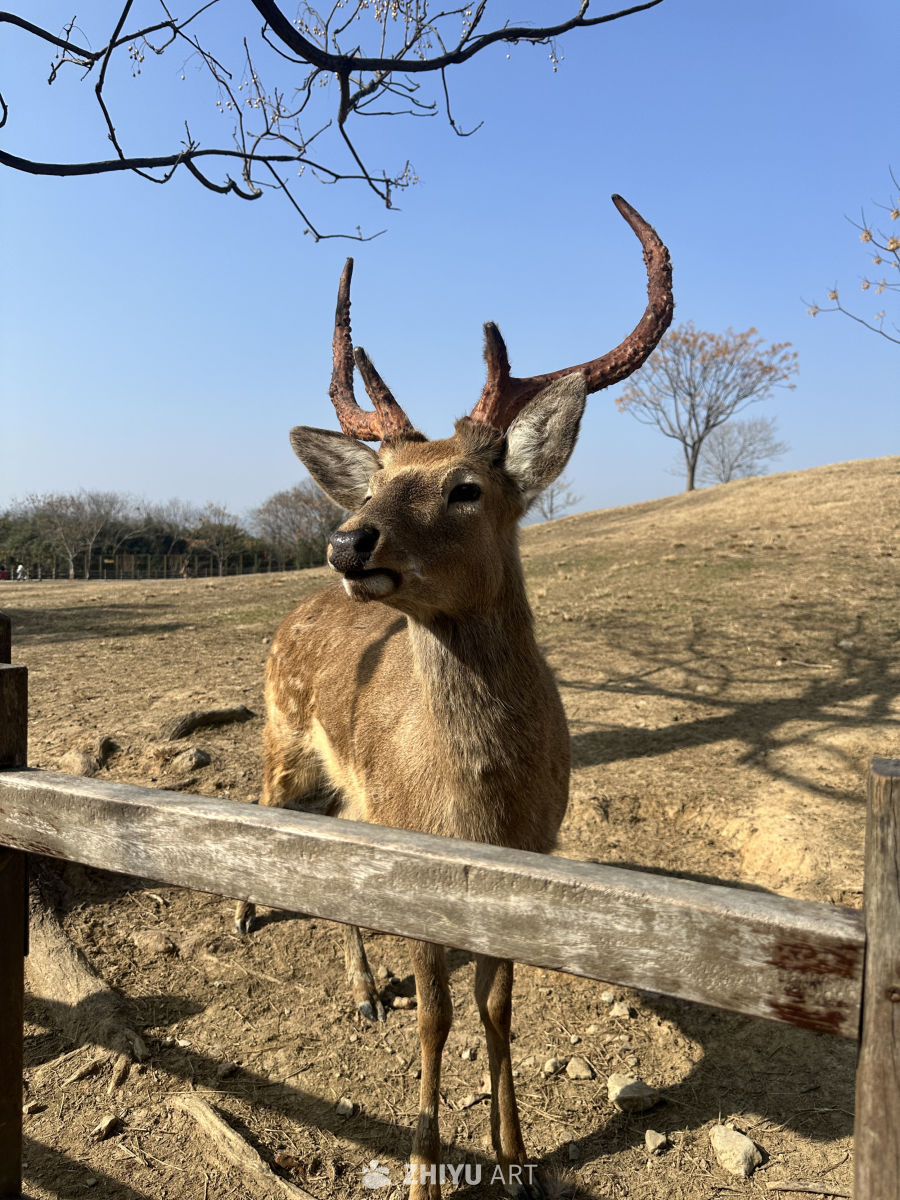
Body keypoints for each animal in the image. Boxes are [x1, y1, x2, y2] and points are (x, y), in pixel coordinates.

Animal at [235, 194, 672, 1199]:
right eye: (381, 478)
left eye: (466, 486)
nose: (346, 540)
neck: (477, 804)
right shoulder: (419, 853)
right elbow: (437, 1012)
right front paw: (425, 1167)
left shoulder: (531, 859)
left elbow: (497, 1007)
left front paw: (518, 1159)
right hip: (283, 733)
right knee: (269, 807)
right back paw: (250, 917)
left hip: (352, 790)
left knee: (332, 840)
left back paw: (363, 990)